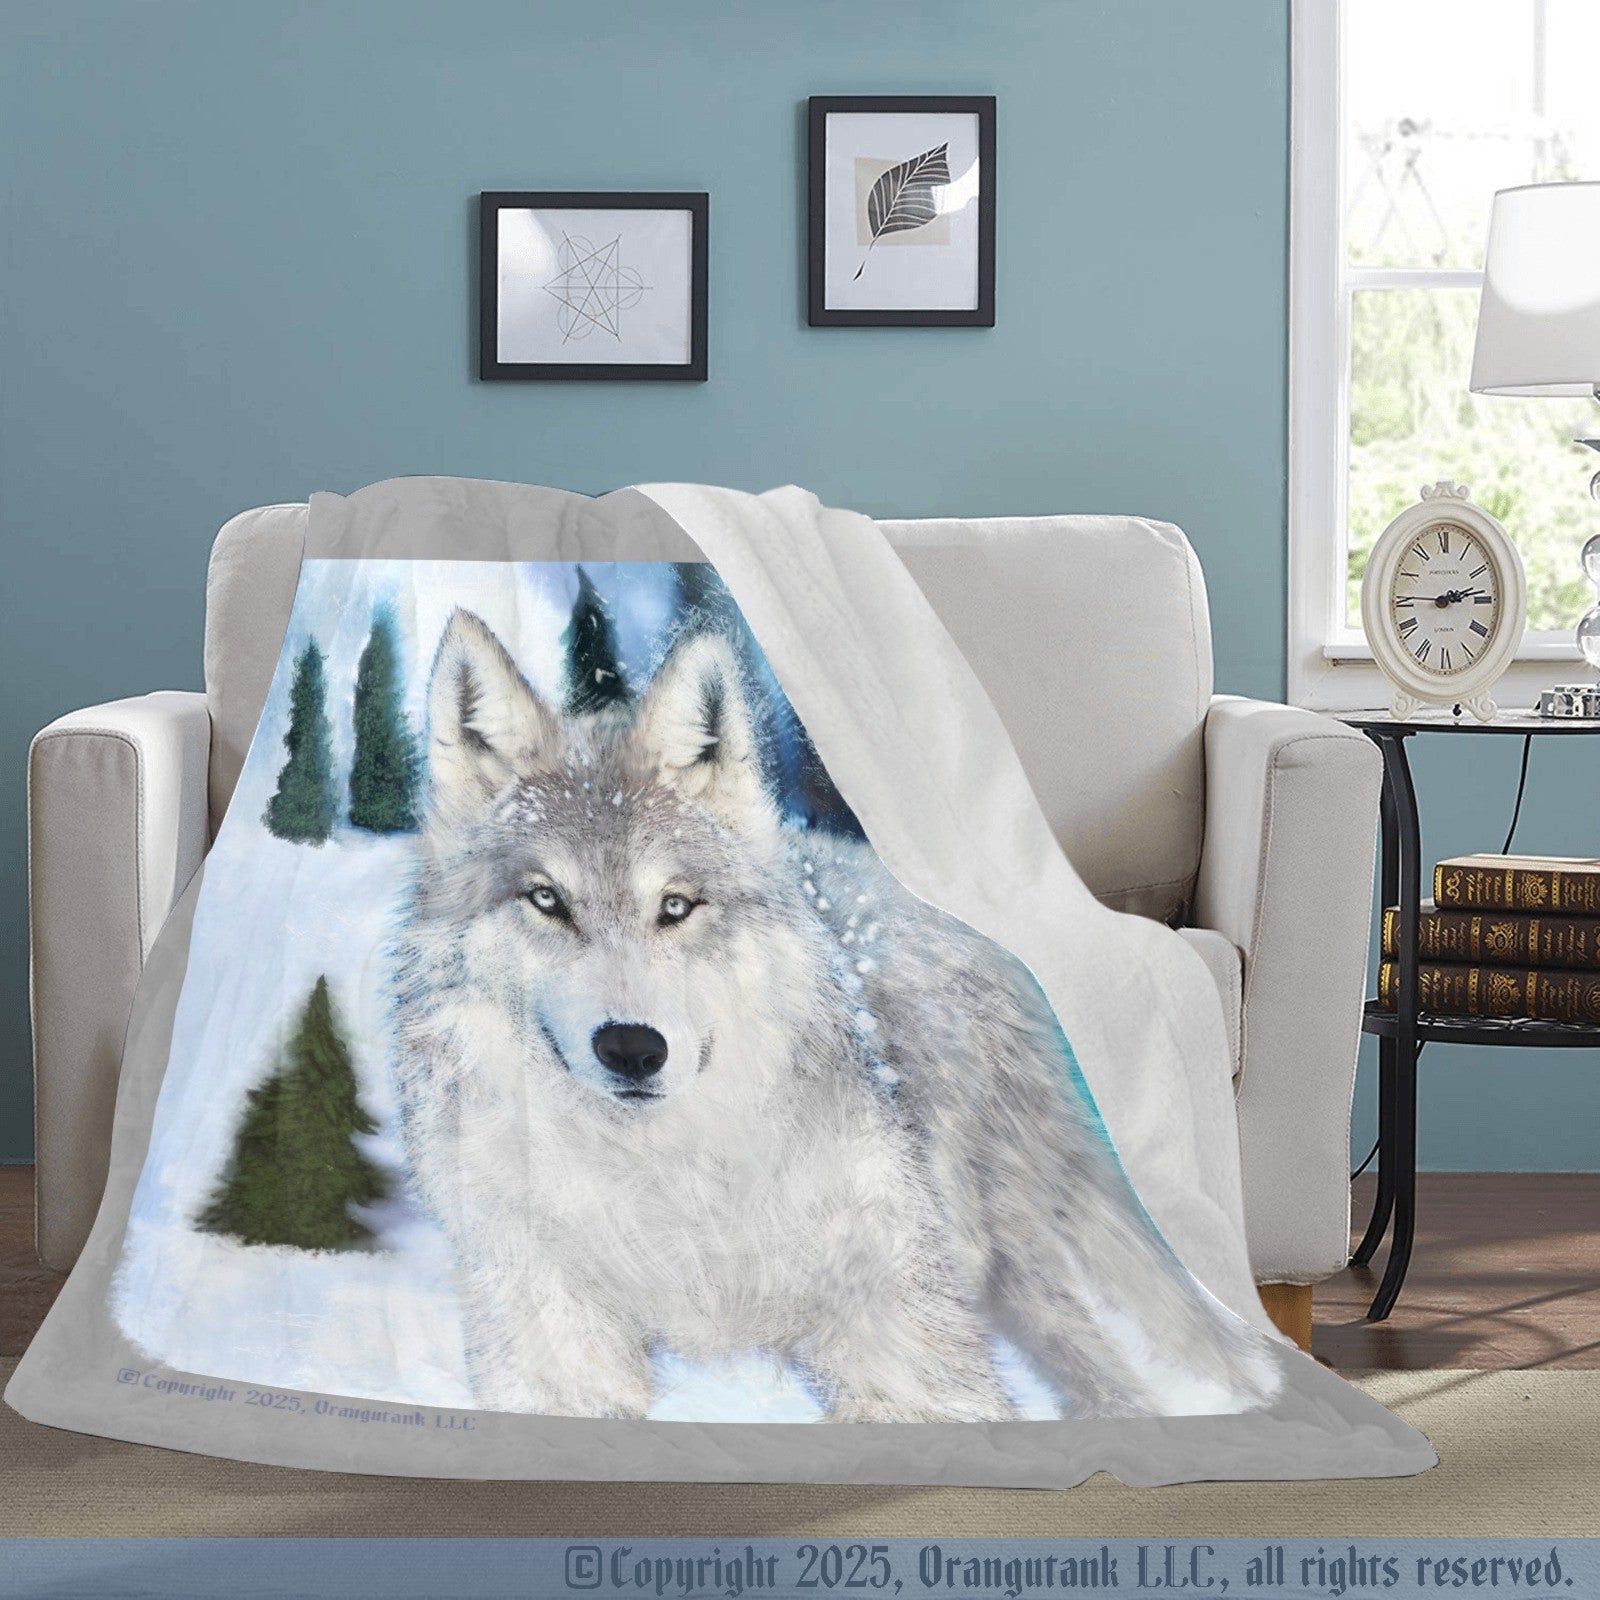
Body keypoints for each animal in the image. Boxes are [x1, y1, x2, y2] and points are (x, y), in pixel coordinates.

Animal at [392, 605, 1279, 1421]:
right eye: (547, 900)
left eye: (676, 906)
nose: (633, 1048)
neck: (667, 1189)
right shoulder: (556, 1354)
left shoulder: (901, 1347)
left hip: (1011, 1274)